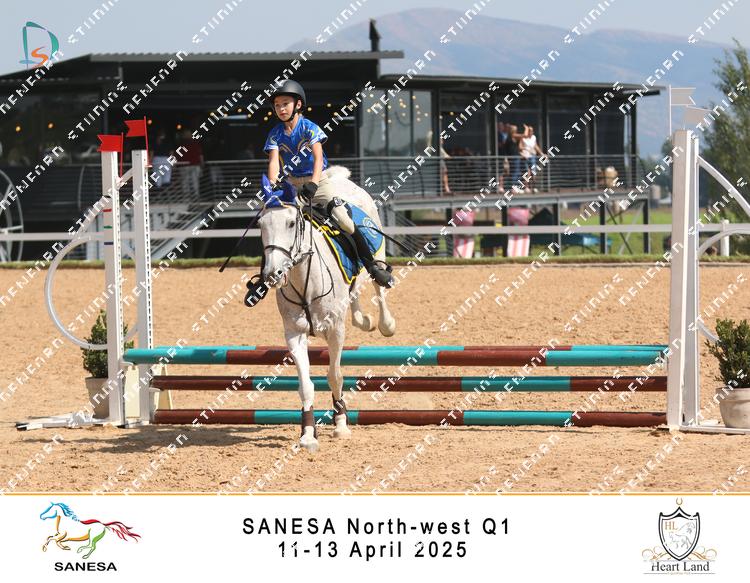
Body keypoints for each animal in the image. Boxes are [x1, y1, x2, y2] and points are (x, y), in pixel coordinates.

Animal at [257, 170, 396, 452]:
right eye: (261, 225)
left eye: (291, 223)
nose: (273, 274)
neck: (304, 281)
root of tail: (338, 178)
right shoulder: (294, 335)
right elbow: (305, 385)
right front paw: (308, 434)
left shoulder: (335, 331)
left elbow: (335, 376)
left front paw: (341, 424)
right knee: (354, 293)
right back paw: (363, 319)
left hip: (376, 251)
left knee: (377, 283)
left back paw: (386, 323)